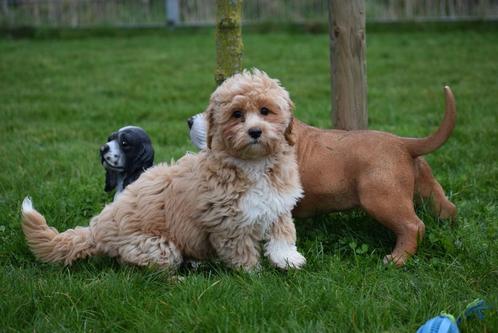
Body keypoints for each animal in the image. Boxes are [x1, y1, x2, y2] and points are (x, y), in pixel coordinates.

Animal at [21, 68, 306, 272]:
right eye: (237, 114)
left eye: (265, 110)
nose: (255, 132)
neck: (252, 164)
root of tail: (97, 228)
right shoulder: (229, 222)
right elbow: (241, 252)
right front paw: (253, 276)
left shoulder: (277, 202)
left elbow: (283, 232)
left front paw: (287, 259)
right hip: (156, 246)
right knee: (137, 267)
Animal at [189, 87, 458, 266]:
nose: (190, 120)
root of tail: (404, 144)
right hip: (425, 189)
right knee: (447, 208)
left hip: (382, 199)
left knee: (413, 226)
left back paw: (397, 259)